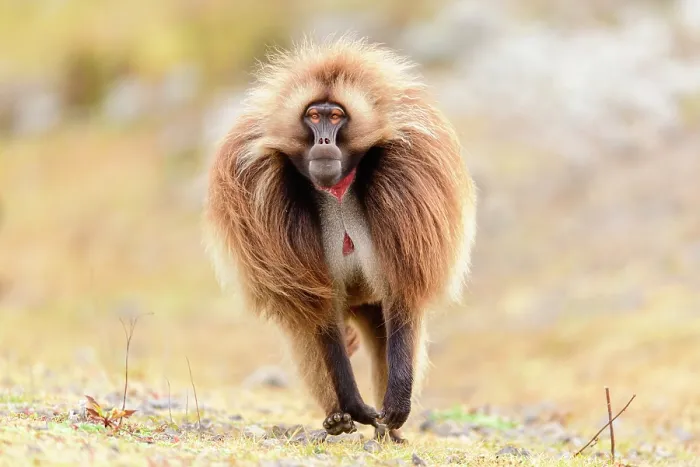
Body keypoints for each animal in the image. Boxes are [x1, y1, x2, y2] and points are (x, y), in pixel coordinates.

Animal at [204, 36, 477, 443]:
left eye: (335, 117)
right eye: (313, 116)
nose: (323, 140)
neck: (337, 191)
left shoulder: (412, 177)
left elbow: (403, 297)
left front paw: (395, 403)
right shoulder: (257, 192)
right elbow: (319, 314)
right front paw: (354, 406)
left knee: (386, 335)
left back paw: (389, 432)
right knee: (306, 332)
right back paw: (337, 419)